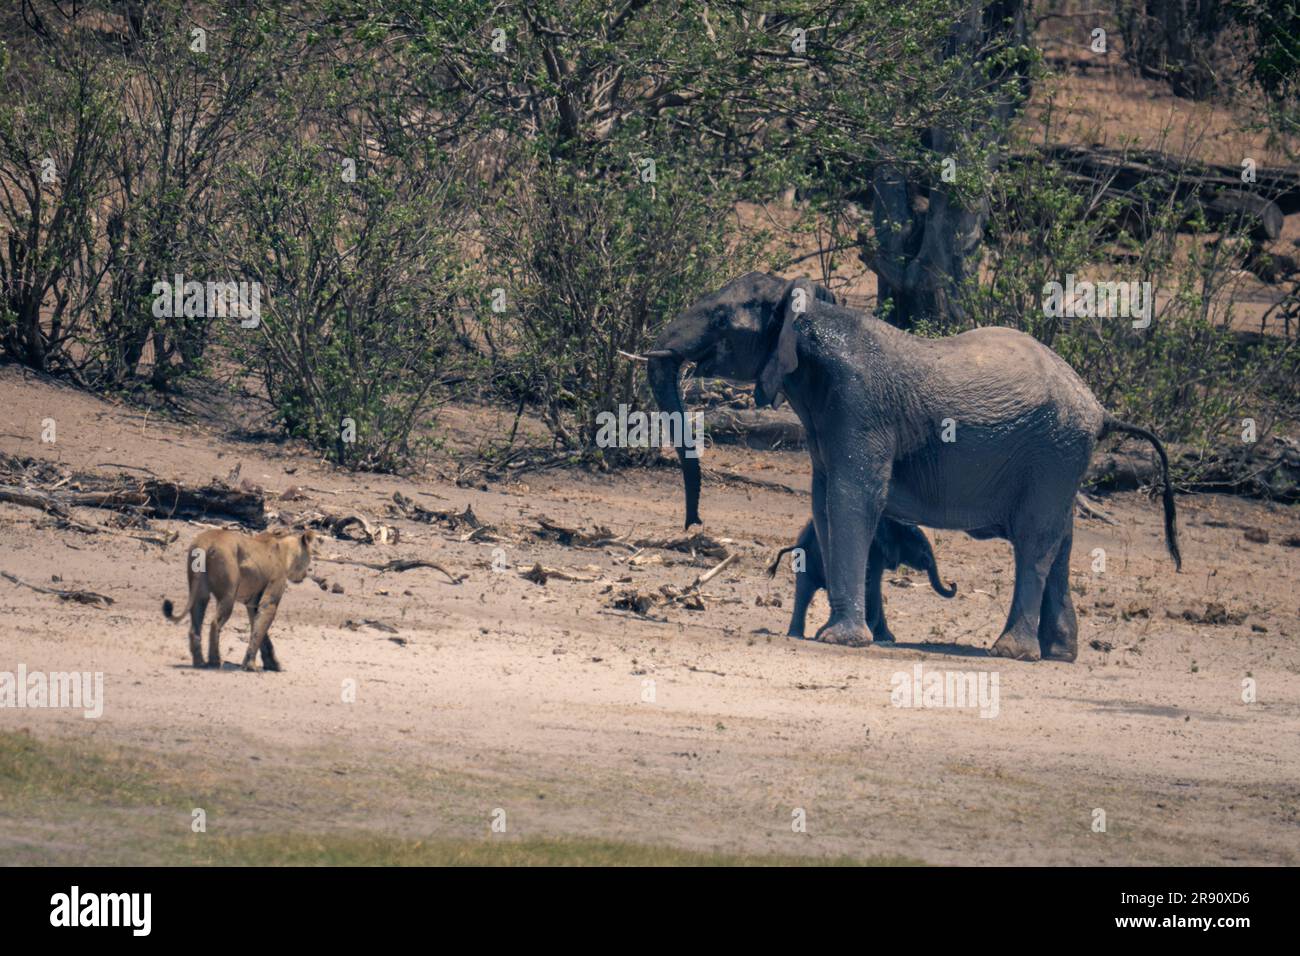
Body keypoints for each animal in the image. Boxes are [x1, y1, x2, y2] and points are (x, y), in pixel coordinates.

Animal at [162, 528, 317, 671]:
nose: (305, 574)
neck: (286, 553)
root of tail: (207, 540)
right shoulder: (270, 600)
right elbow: (259, 632)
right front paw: (250, 666)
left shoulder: (252, 603)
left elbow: (260, 632)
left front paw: (272, 664)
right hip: (228, 595)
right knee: (214, 623)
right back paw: (215, 661)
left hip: (200, 595)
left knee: (194, 628)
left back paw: (199, 663)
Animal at [767, 518, 956, 641]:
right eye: (920, 543)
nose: (952, 583)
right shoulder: (875, 551)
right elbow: (873, 588)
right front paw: (879, 636)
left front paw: (887, 639)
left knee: (804, 591)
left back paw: (797, 635)